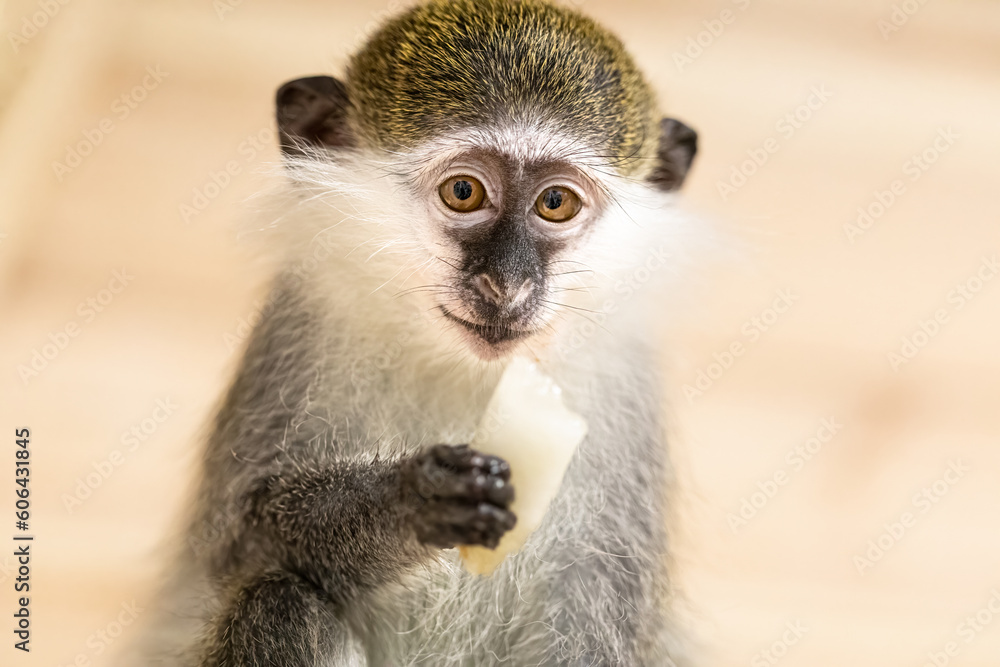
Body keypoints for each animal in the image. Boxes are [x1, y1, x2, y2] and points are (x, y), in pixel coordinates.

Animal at [129, 0, 700, 664]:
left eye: (555, 202)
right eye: (464, 192)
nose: (506, 285)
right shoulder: (290, 337)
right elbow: (235, 550)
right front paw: (410, 499)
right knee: (279, 600)